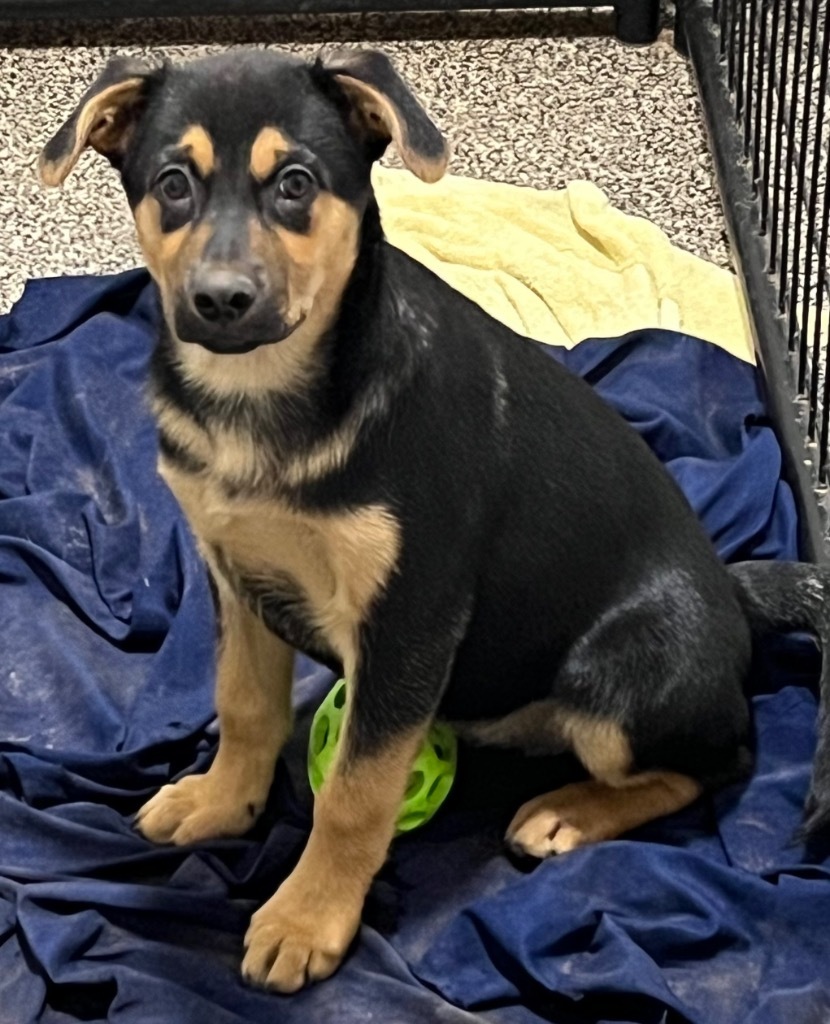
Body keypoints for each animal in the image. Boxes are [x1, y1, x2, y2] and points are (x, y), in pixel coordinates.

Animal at [42, 48, 830, 991]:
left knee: (723, 758)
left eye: (296, 185)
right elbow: (244, 704)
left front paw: (308, 919)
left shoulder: (410, 619)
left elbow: (355, 793)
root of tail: (732, 594)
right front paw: (222, 801)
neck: (266, 400)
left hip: (617, 674)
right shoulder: (237, 573)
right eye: (172, 185)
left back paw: (568, 813)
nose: (221, 300)